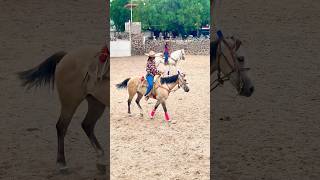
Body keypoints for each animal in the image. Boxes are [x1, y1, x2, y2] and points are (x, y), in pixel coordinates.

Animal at [18, 45, 110, 173]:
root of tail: (66, 55)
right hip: (70, 102)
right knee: (62, 126)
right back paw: (62, 163)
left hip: (96, 103)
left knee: (87, 125)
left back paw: (101, 158)